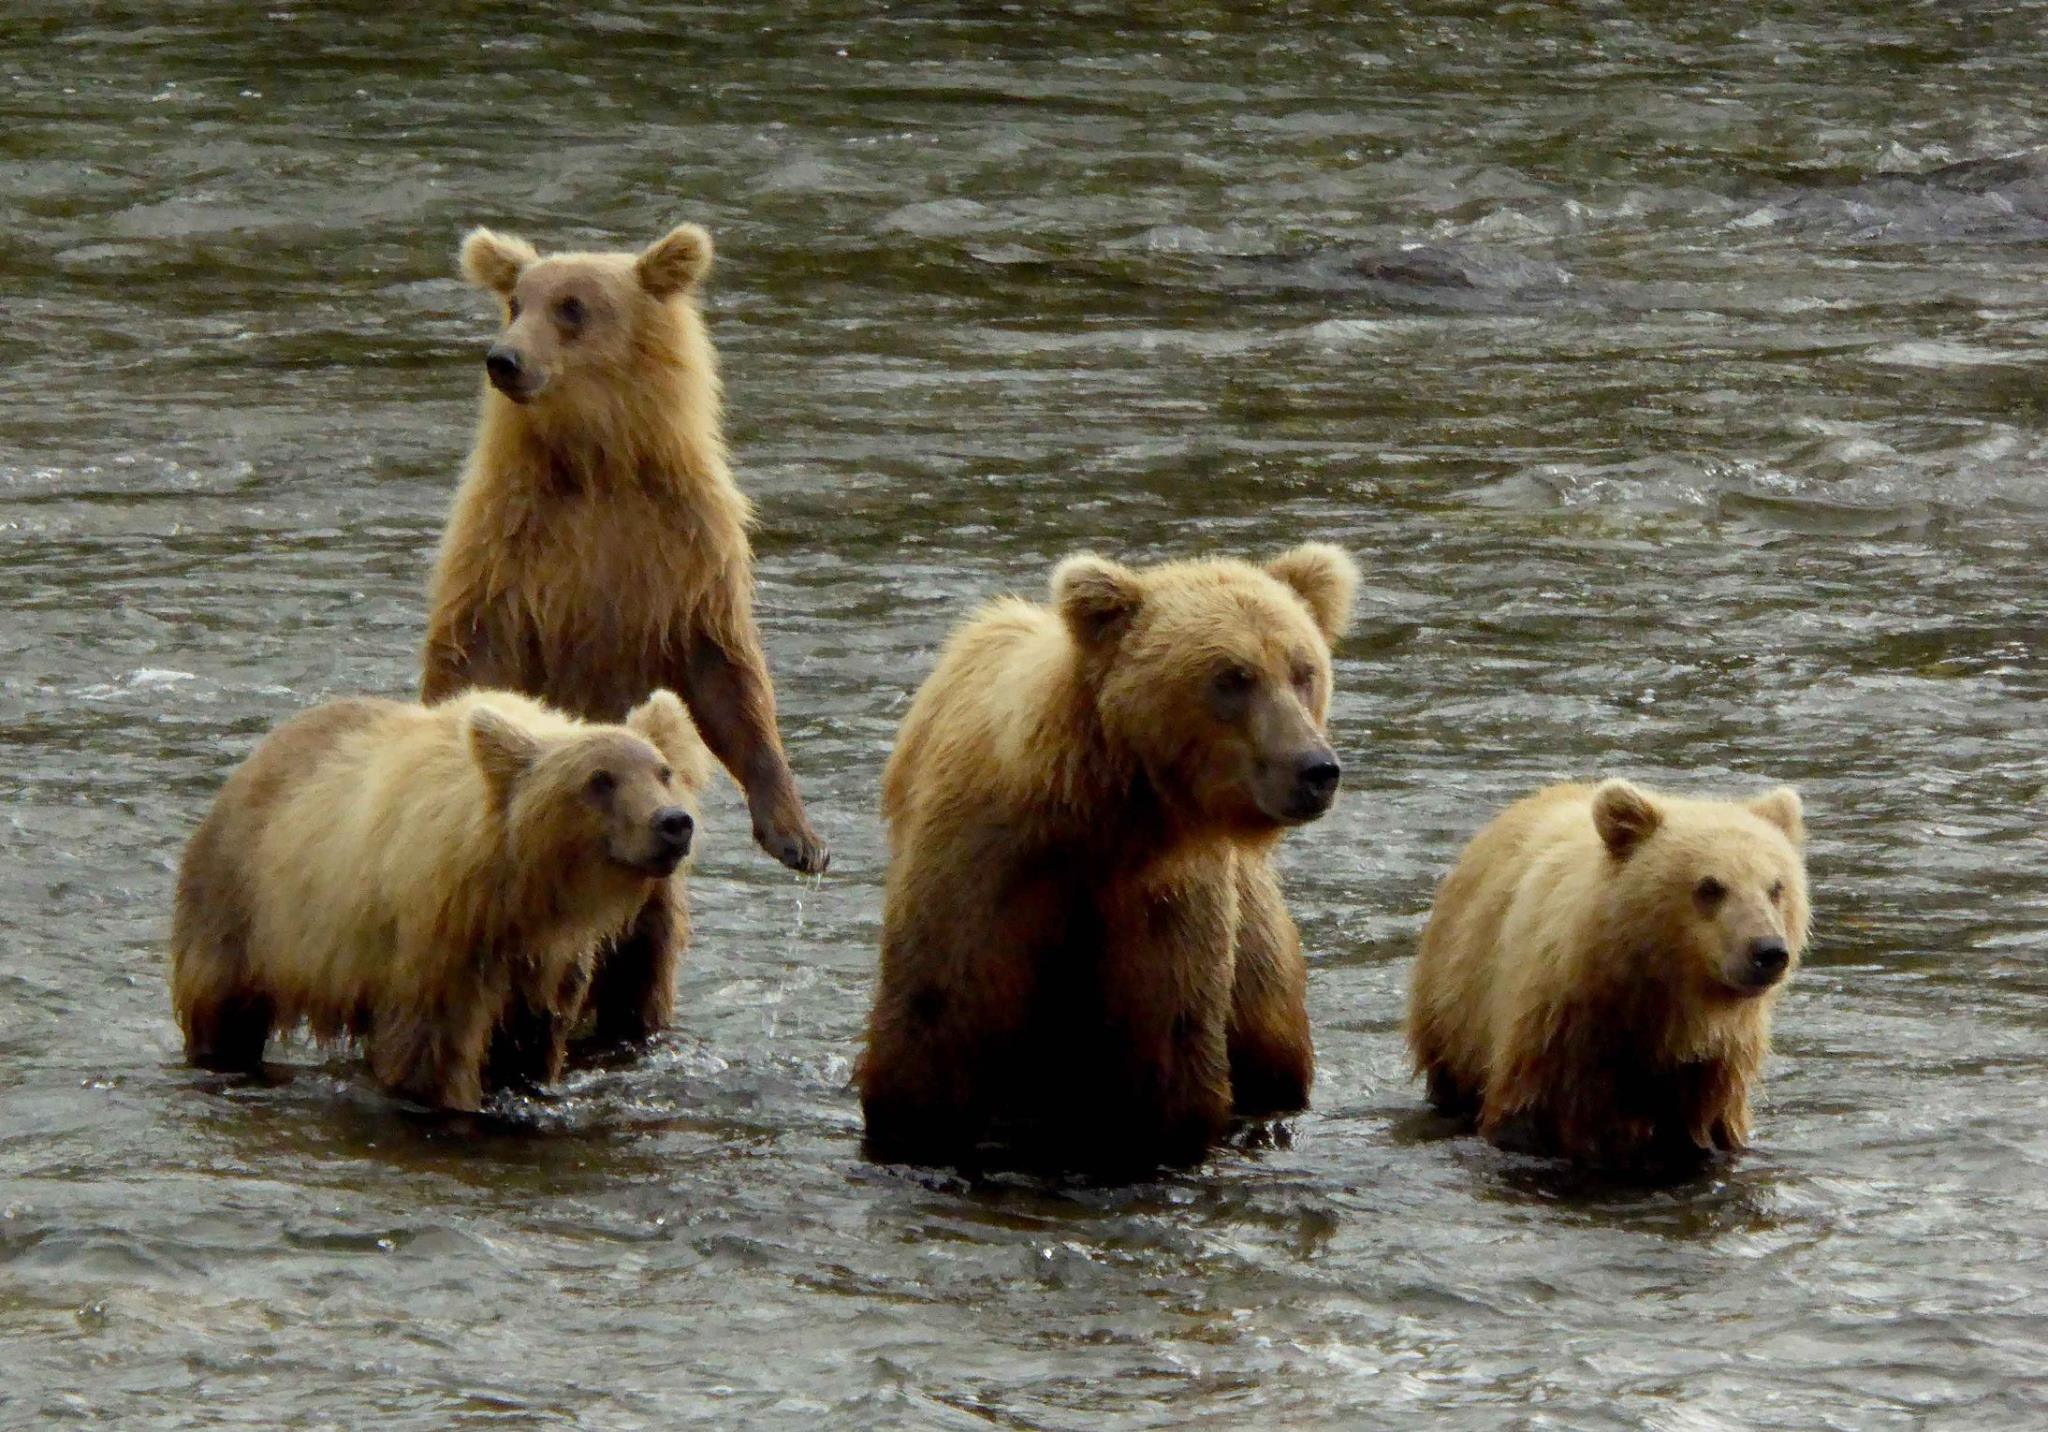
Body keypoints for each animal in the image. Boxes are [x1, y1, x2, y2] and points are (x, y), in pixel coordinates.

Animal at [169, 687, 712, 1111]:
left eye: (662, 771)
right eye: (600, 778)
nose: (672, 822)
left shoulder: (545, 958)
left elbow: (528, 1040)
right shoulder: (434, 938)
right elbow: (431, 1045)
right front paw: (446, 1099)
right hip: (246, 908)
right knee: (224, 1009)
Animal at [419, 221, 826, 1051]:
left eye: (572, 306)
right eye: (516, 300)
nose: (504, 359)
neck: (596, 465)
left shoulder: (686, 549)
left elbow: (726, 679)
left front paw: (797, 836)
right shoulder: (506, 550)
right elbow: (472, 654)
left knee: (647, 962)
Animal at [856, 543, 1360, 1174]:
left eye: (1304, 669)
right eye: (1232, 677)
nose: (1315, 769)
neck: (1102, 813)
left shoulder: (1162, 897)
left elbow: (1166, 1047)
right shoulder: (984, 868)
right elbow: (935, 1017)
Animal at [1406, 778, 1810, 1166]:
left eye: (1776, 887)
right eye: (1710, 886)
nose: (1768, 951)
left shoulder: (1711, 1068)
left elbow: (1705, 1130)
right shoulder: (1556, 1033)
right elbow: (1526, 1116)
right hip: (1455, 1009)